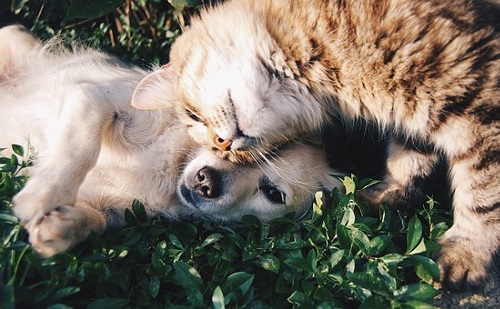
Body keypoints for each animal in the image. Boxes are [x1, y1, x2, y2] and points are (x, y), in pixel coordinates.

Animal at [0, 24, 340, 255]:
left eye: (273, 194)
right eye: (222, 141)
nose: (206, 182)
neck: (171, 168)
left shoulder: (115, 209)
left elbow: (97, 221)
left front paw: (61, 228)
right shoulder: (95, 97)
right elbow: (81, 148)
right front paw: (43, 195)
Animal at [132, 0, 500, 288]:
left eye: (193, 116)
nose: (224, 145)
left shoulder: (477, 101)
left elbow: (483, 194)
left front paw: (467, 252)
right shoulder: (415, 117)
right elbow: (408, 160)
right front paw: (386, 196)